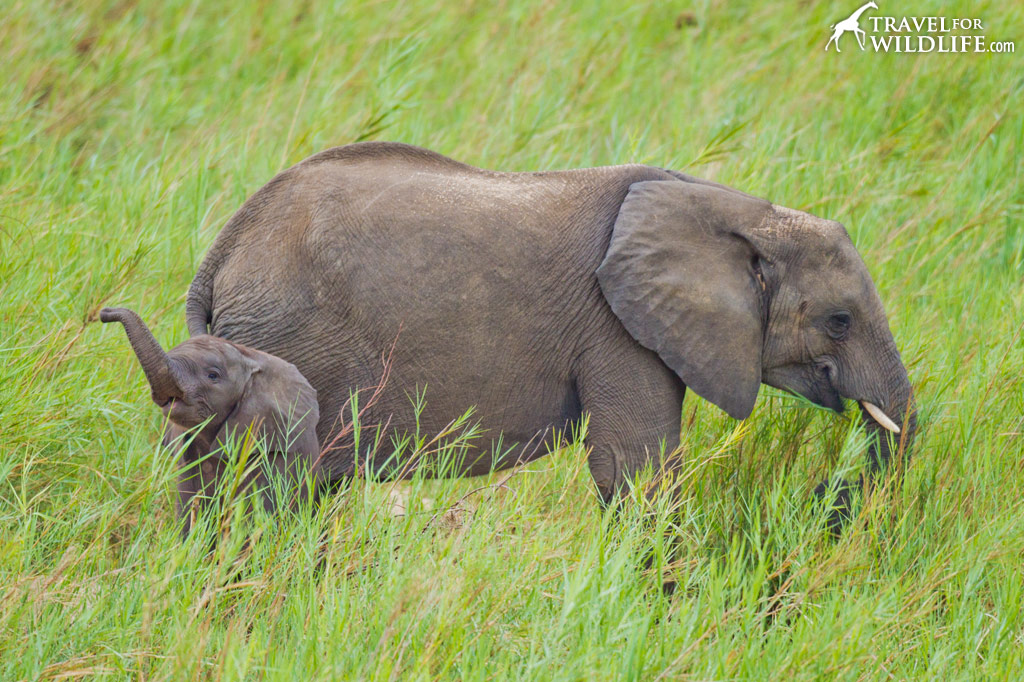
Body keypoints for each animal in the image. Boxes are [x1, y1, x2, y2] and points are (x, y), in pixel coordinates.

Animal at [186, 140, 921, 501]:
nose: (823, 495)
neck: (740, 211)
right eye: (839, 320)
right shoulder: (616, 329)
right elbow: (637, 471)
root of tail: (223, 249)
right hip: (287, 341)